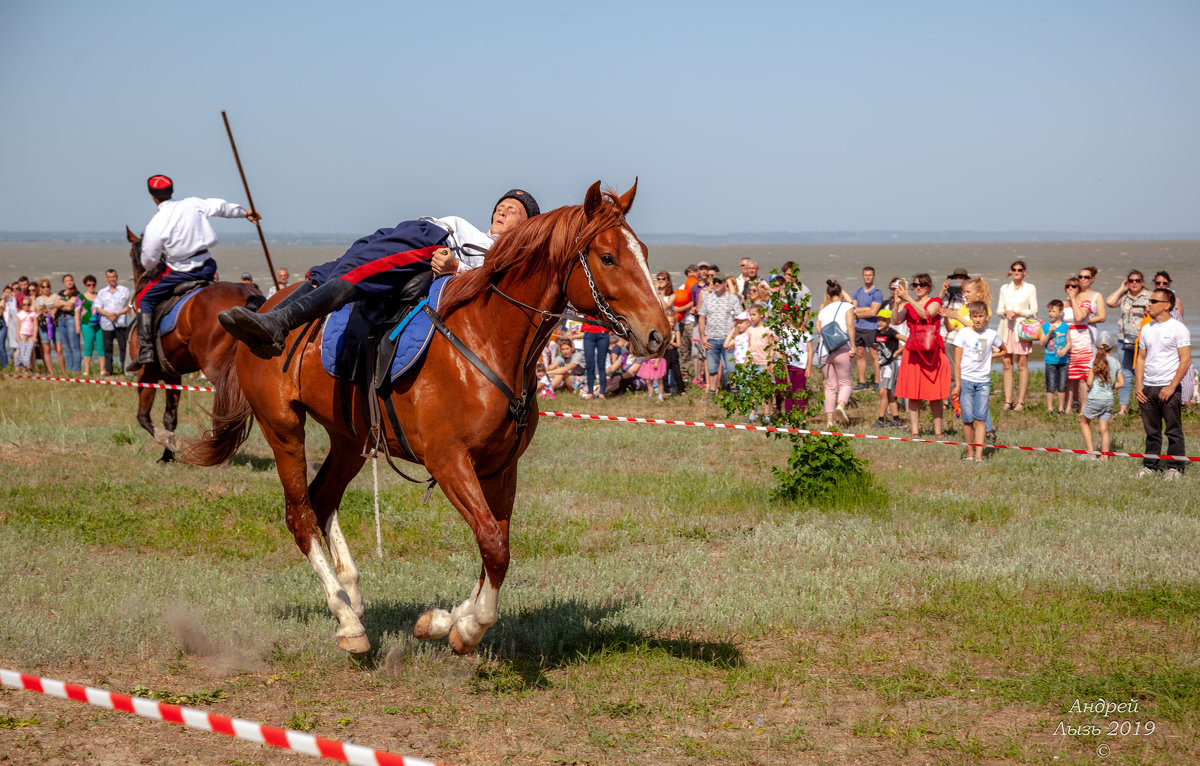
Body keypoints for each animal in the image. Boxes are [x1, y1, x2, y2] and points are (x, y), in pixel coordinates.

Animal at [125, 228, 264, 465]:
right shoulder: (172, 375)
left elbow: (143, 417)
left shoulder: (147, 373)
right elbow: (169, 418)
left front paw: (166, 442)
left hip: (217, 369)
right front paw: (167, 456)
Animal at [188, 182, 676, 657]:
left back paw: (352, 598)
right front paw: (465, 628)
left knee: (322, 500)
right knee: (301, 515)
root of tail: (266, 300)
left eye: (644, 251)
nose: (660, 334)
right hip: (283, 427)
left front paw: (448, 621)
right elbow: (493, 544)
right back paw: (348, 621)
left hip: (350, 439)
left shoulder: (500, 467)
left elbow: (496, 547)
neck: (488, 340)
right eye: (608, 257)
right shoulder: (448, 461)